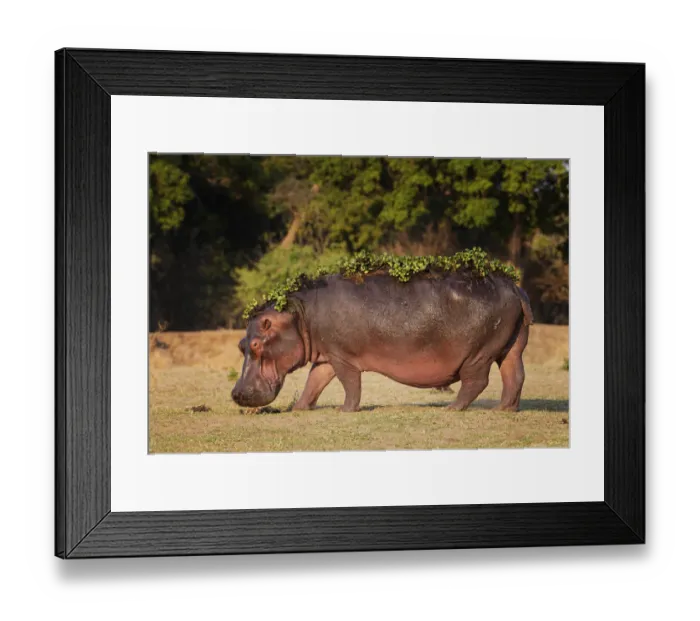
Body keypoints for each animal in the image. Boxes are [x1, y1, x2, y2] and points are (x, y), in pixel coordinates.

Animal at [231, 270, 533, 412]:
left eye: (256, 345)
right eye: (241, 345)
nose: (236, 394)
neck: (298, 314)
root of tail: (515, 287)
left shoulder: (343, 357)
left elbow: (350, 384)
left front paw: (344, 410)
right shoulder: (328, 355)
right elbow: (314, 383)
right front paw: (298, 408)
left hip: (479, 353)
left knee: (477, 381)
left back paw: (452, 408)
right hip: (511, 346)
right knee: (515, 374)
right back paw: (504, 409)